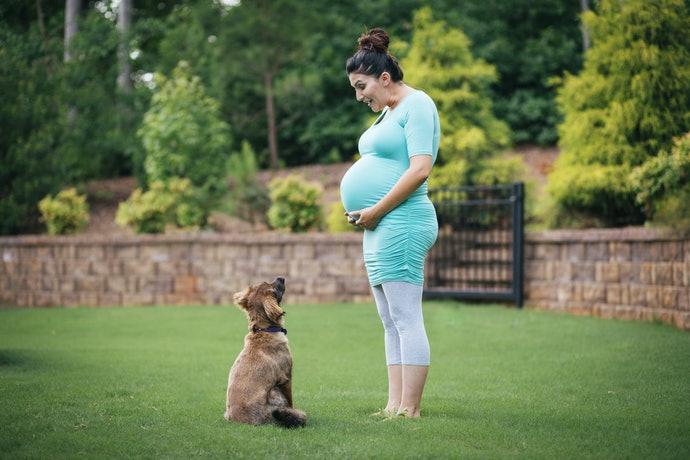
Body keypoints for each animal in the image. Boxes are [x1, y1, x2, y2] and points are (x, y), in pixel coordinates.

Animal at [223, 276, 306, 428]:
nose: (281, 277)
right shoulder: (286, 378)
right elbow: (291, 401)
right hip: (274, 391)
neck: (264, 330)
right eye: (274, 290)